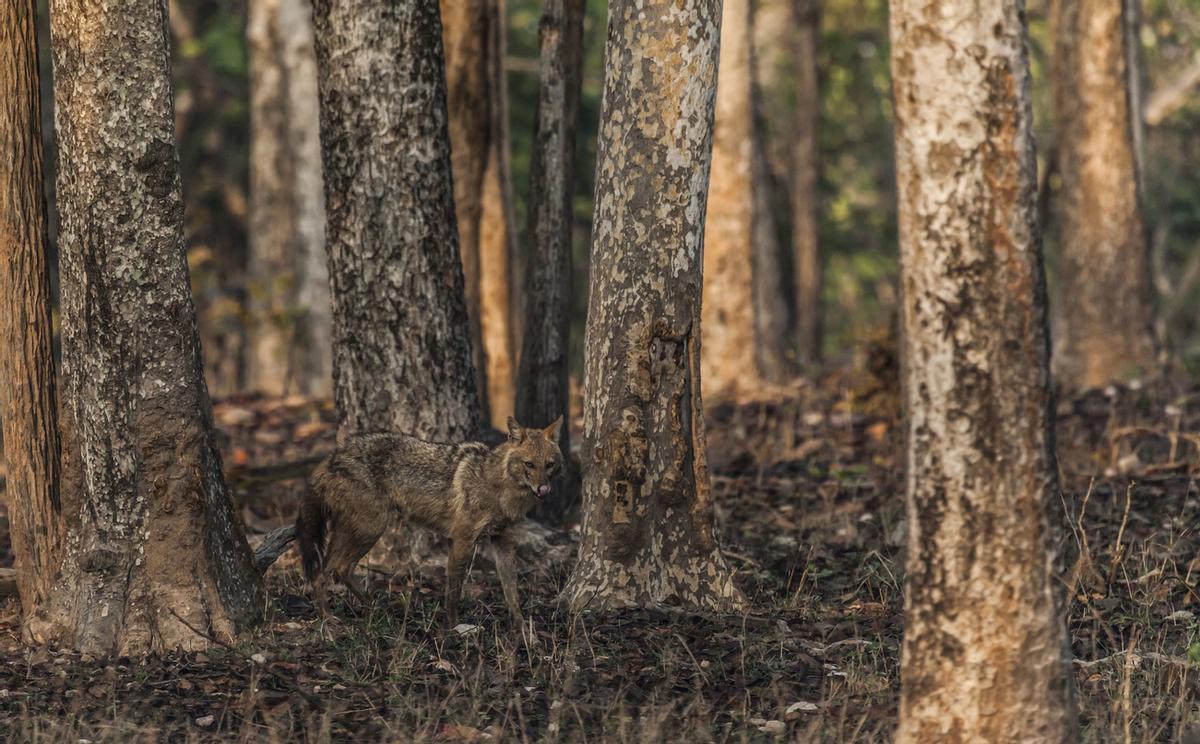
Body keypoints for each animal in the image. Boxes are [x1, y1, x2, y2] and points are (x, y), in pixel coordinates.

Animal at [295, 416, 564, 627]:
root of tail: (335, 454)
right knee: (332, 571)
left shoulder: (503, 543)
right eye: (529, 464)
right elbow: (453, 594)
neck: (498, 488)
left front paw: (526, 635)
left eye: (550, 465)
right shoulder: (461, 540)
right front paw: (452, 630)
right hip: (371, 528)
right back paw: (330, 619)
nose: (544, 490)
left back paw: (370, 611)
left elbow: (513, 596)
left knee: (329, 572)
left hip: (355, 531)